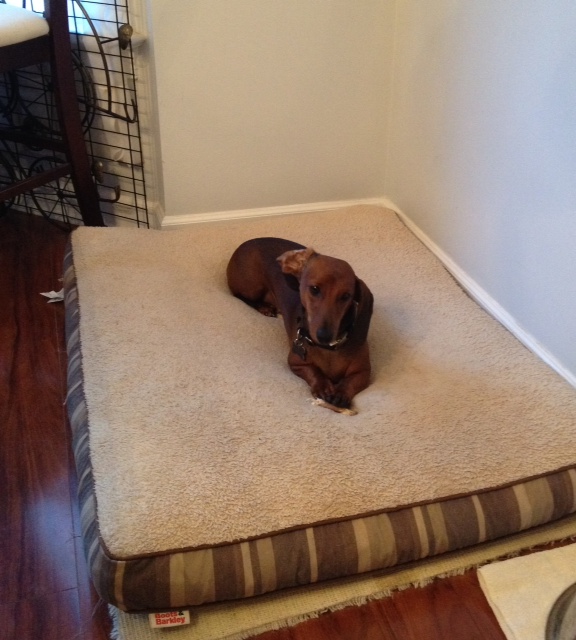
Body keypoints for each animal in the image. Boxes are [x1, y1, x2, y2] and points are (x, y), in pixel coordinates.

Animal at [226, 237, 373, 412]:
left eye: (346, 296)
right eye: (315, 289)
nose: (324, 336)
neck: (328, 350)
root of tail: (245, 243)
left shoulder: (364, 372)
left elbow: (351, 381)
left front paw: (341, 393)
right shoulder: (296, 363)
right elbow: (313, 371)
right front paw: (323, 386)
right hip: (252, 286)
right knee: (239, 295)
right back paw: (264, 308)